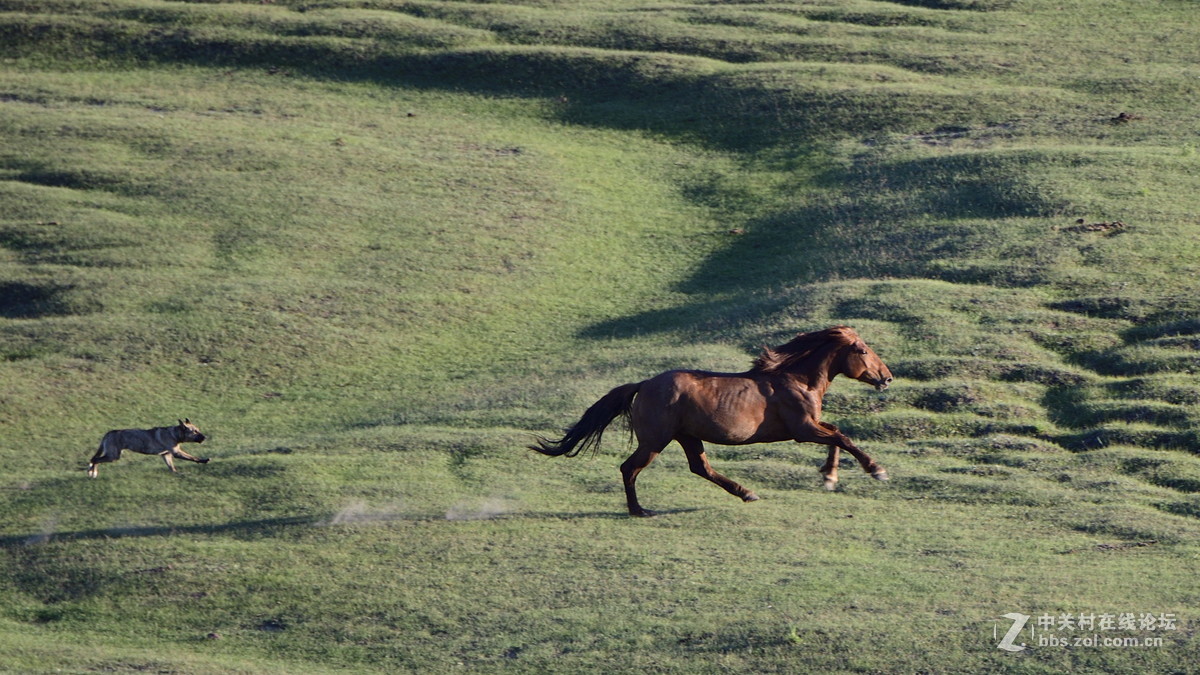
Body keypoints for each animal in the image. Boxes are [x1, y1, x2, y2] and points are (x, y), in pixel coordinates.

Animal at [532, 326, 892, 514]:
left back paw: (747, 493)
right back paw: (638, 510)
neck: (796, 379)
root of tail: (643, 384)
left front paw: (829, 476)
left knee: (700, 468)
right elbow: (842, 437)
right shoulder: (802, 429)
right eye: (862, 350)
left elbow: (837, 434)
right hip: (656, 440)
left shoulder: (810, 427)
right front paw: (877, 470)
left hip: (688, 437)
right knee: (629, 468)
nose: (886, 378)